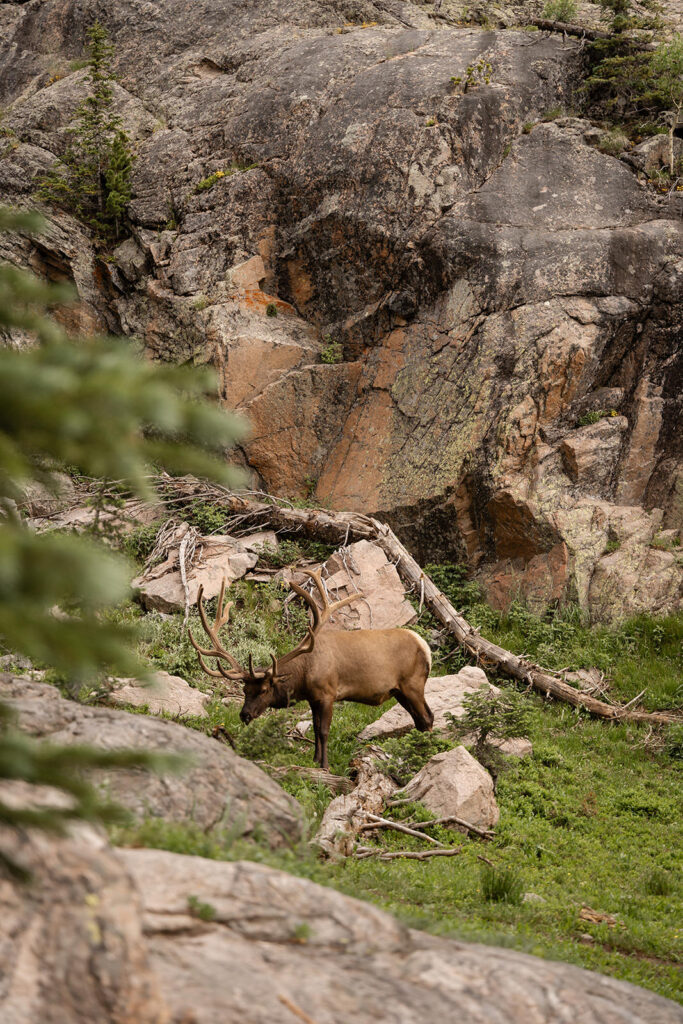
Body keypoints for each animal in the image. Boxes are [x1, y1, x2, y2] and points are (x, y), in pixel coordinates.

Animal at [187, 569, 432, 770]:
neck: (303, 676)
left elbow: (324, 731)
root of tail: (424, 645)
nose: (244, 714)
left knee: (427, 718)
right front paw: (314, 760)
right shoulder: (313, 698)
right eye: (245, 690)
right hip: (399, 691)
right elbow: (314, 729)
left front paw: (325, 765)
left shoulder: (327, 693)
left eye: (264, 690)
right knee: (419, 721)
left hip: (413, 684)